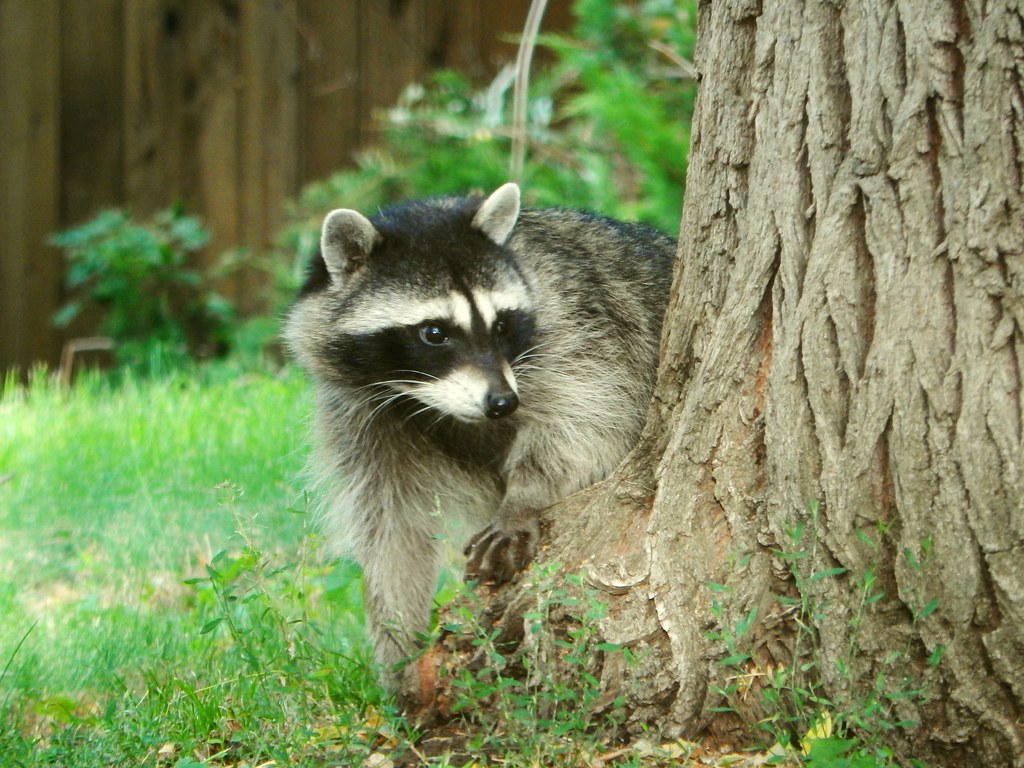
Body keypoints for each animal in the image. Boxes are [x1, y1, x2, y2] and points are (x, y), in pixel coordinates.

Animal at [284, 183, 675, 687]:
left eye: (501, 324)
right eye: (434, 333)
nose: (503, 403)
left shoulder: (580, 325)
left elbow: (588, 419)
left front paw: (526, 494)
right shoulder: (360, 414)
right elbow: (391, 526)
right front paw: (398, 639)